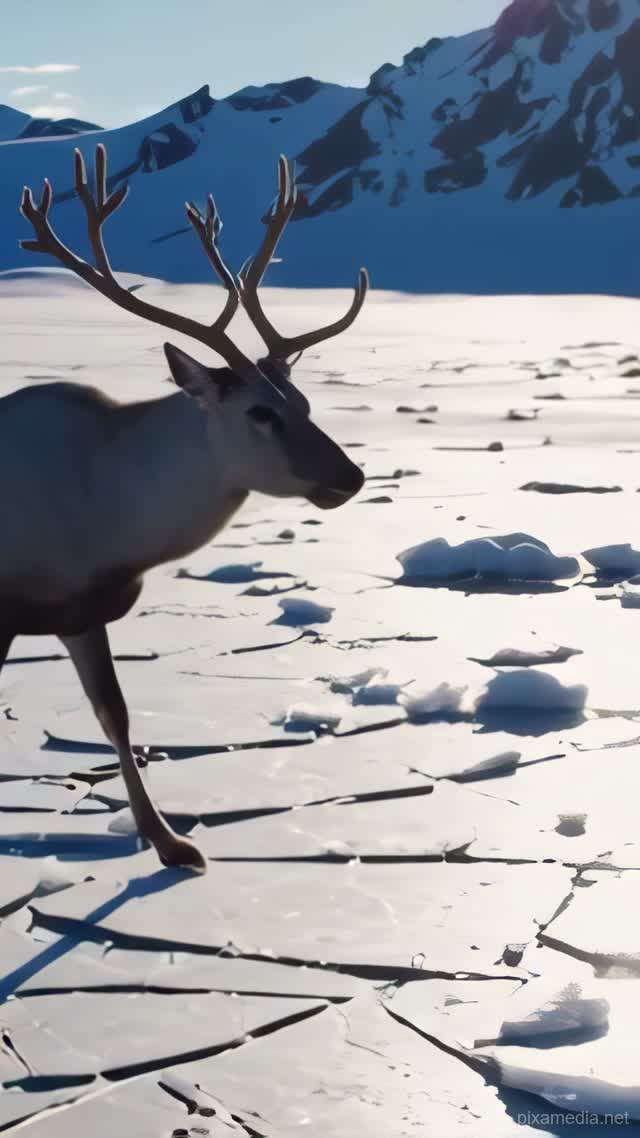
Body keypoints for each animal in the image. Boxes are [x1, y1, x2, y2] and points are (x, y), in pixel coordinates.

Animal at [3, 143, 368, 873]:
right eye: (261, 412)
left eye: (304, 402)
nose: (352, 476)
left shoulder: (79, 609)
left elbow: (114, 713)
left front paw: (169, 840)